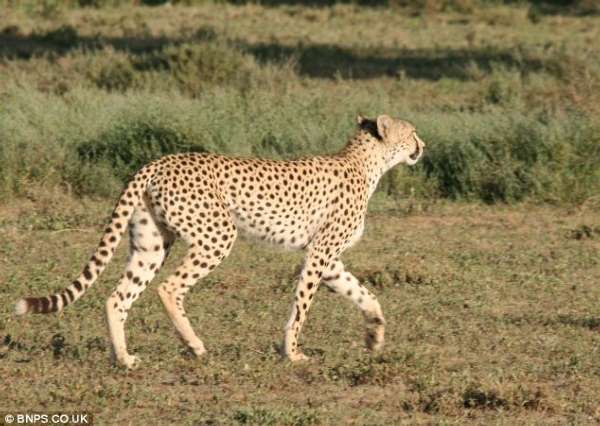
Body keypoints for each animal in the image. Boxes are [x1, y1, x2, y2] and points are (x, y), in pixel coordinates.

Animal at [15, 115, 426, 368]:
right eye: (411, 132)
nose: (423, 145)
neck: (366, 162)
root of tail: (157, 161)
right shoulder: (320, 253)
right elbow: (302, 306)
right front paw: (292, 353)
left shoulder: (328, 258)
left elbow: (363, 293)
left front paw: (374, 335)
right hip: (218, 235)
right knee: (168, 288)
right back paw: (194, 345)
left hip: (151, 243)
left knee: (117, 297)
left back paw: (125, 359)